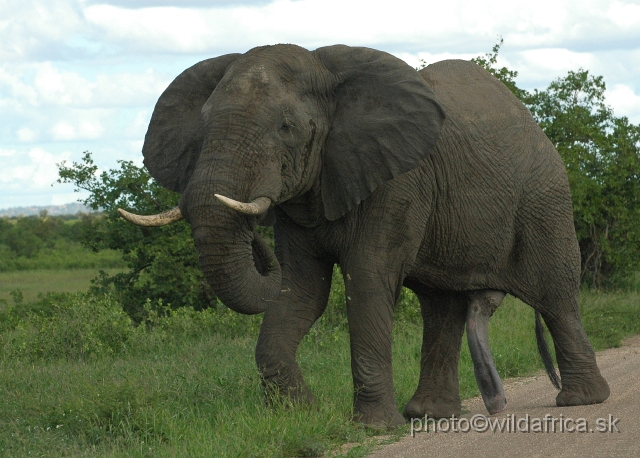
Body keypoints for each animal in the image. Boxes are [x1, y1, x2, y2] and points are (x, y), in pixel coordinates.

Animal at [119, 44, 608, 428]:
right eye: (202, 127)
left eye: (286, 127)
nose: (255, 239)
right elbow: (301, 290)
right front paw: (302, 415)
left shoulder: (398, 181)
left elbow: (368, 279)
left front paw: (372, 428)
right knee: (442, 307)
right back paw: (428, 416)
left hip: (543, 198)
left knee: (555, 294)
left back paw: (581, 401)